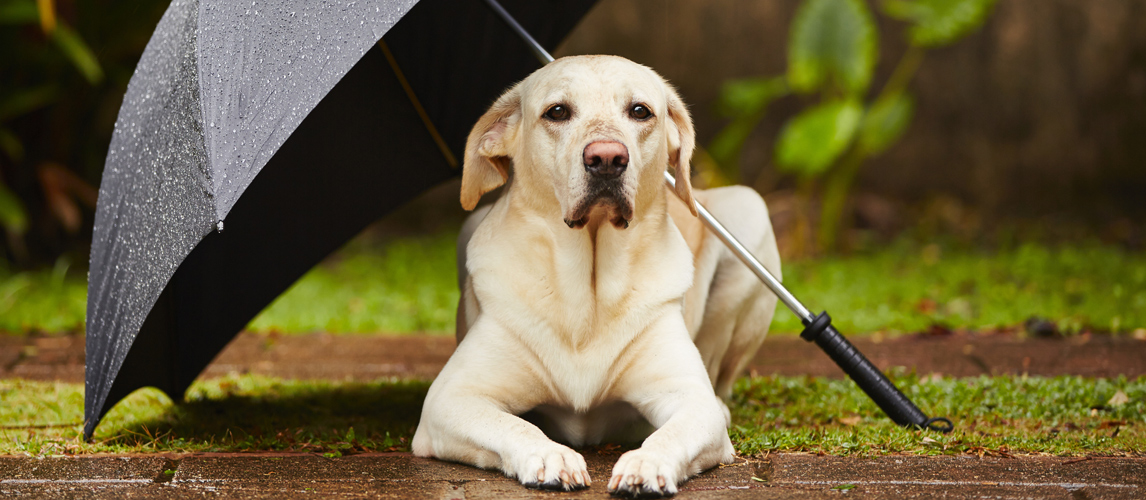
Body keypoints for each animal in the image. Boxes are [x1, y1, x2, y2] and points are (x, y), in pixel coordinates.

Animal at [412, 55, 779, 495]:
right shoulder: (450, 399)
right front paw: (550, 456)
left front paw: (646, 464)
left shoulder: (691, 398)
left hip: (749, 211)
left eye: (640, 111)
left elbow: (672, 432)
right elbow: (513, 425)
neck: (588, 289)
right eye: (557, 112)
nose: (607, 158)